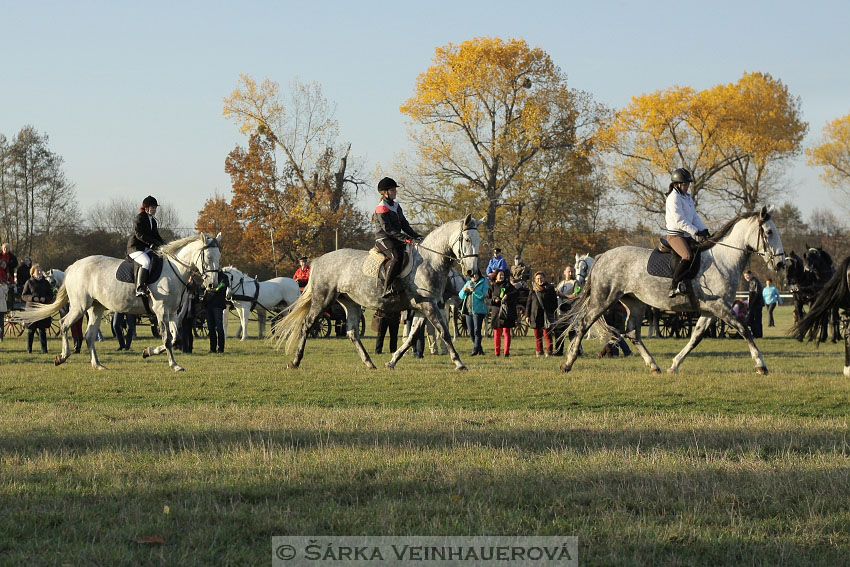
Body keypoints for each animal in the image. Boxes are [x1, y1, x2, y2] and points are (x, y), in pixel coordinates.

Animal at [12, 234, 220, 372]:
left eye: (218, 257)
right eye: (208, 257)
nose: (212, 285)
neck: (174, 270)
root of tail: (74, 266)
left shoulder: (173, 313)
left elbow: (175, 338)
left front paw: (147, 351)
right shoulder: (161, 311)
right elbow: (167, 339)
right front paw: (174, 365)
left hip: (96, 308)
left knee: (89, 335)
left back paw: (97, 365)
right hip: (80, 306)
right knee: (64, 325)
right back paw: (62, 357)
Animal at [272, 215, 484, 370]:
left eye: (479, 241)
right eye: (466, 239)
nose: (472, 272)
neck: (429, 260)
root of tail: (318, 260)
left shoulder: (423, 306)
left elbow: (412, 336)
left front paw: (392, 361)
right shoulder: (427, 305)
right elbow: (444, 332)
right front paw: (459, 363)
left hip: (351, 302)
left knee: (352, 332)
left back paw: (369, 363)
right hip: (323, 299)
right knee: (307, 325)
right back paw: (295, 361)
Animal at [560, 206, 784, 374]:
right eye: (769, 232)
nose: (781, 263)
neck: (723, 259)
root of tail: (602, 257)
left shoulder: (711, 311)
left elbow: (696, 337)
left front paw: (675, 365)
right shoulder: (719, 306)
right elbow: (744, 329)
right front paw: (761, 365)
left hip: (634, 301)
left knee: (632, 332)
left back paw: (653, 366)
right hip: (603, 299)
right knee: (583, 324)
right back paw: (568, 363)